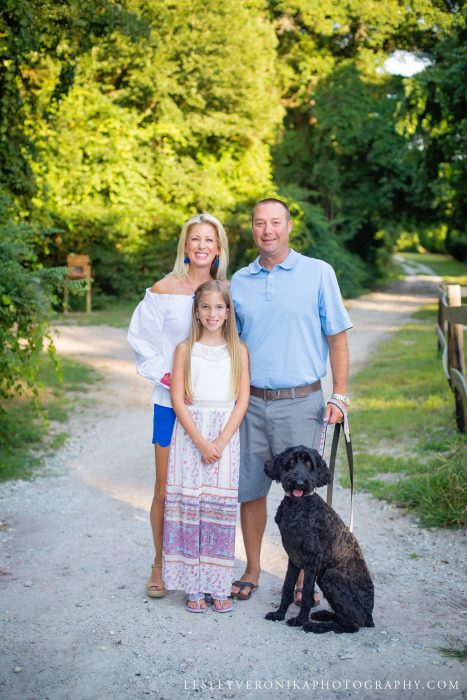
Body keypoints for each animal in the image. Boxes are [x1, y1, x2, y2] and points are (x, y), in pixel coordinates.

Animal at [266, 448, 374, 636]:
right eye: (291, 461)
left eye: (309, 464)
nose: (299, 483)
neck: (299, 505)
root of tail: (370, 616)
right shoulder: (294, 559)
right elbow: (287, 588)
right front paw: (279, 614)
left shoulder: (312, 559)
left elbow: (306, 593)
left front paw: (299, 620)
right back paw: (323, 615)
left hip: (330, 575)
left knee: (352, 624)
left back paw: (314, 626)